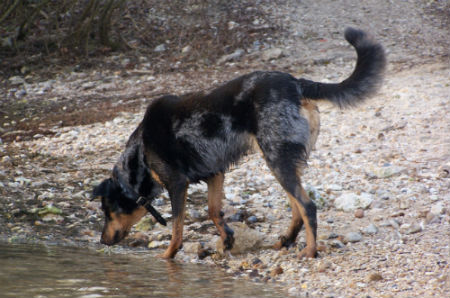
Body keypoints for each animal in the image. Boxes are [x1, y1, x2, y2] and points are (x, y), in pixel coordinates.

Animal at [92, 28, 386, 258]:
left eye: (107, 211)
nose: (101, 241)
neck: (140, 154)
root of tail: (296, 83)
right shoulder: (214, 174)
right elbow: (213, 211)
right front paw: (227, 239)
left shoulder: (178, 185)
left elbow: (177, 229)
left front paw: (168, 256)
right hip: (284, 162)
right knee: (296, 208)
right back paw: (287, 241)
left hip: (277, 161)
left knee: (307, 207)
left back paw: (310, 250)